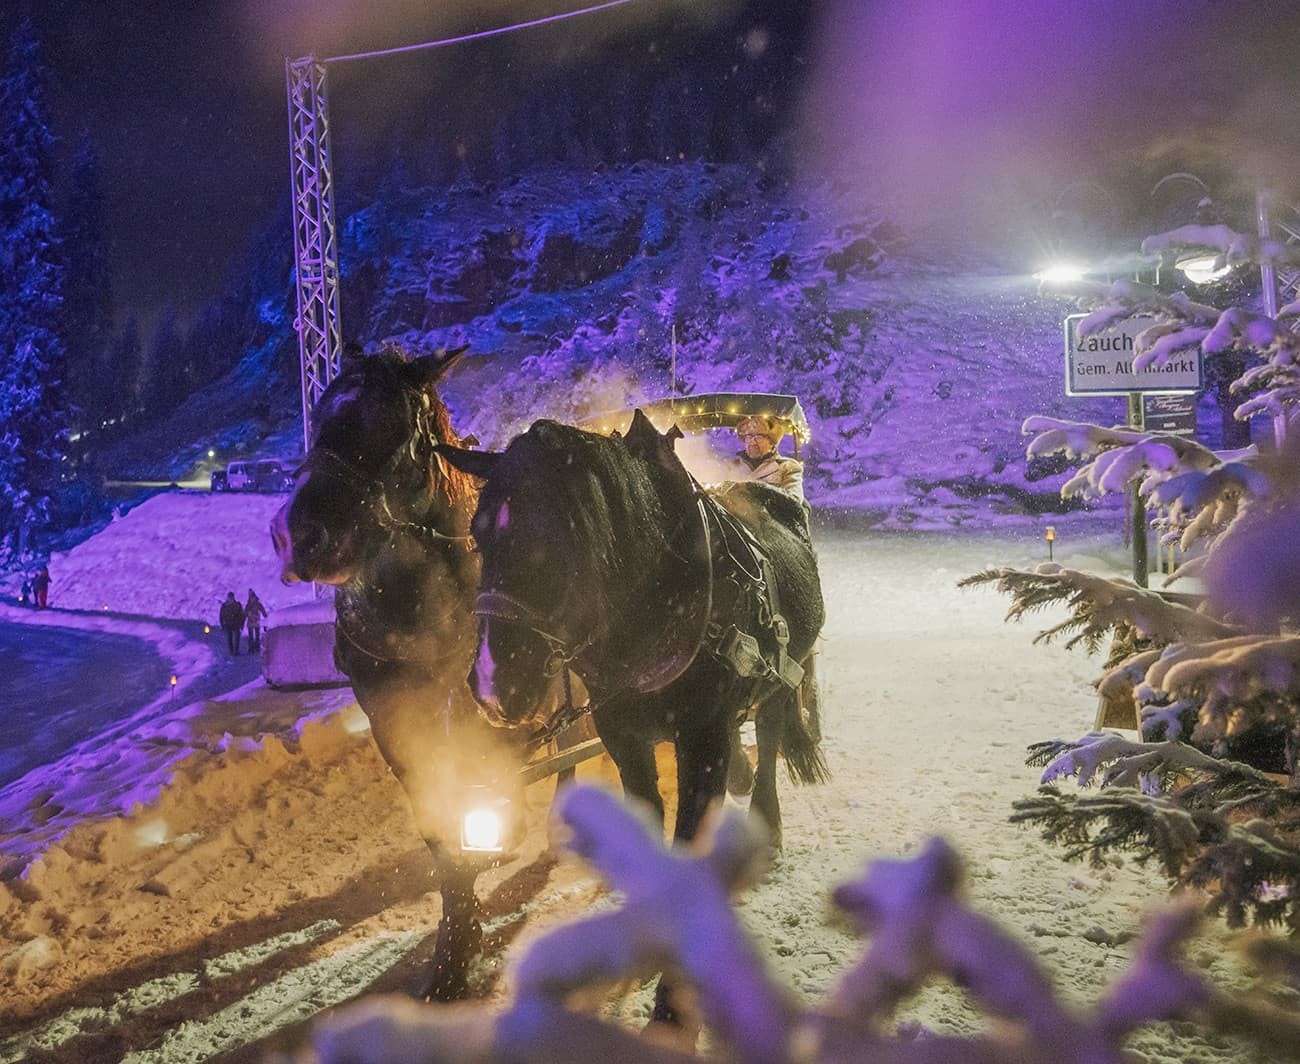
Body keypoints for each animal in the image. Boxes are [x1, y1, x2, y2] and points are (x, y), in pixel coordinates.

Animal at [270, 345, 514, 1000]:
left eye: (389, 423)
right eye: (321, 416)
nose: (297, 536)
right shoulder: (393, 719)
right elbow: (438, 820)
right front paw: (459, 938)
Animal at [437, 410, 827, 1022]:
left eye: (558, 538)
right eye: (477, 535)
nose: (494, 684)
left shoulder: (703, 739)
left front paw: (674, 1000)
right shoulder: (622, 736)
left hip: (781, 680)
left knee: (767, 739)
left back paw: (766, 823)